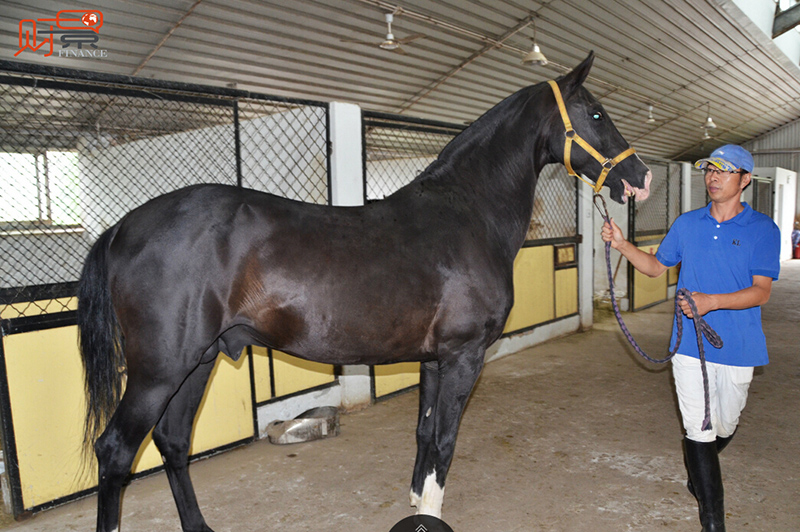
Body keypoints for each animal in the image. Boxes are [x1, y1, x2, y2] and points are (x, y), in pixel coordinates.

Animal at [76, 51, 648, 532]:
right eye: (596, 114)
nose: (639, 178)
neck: (466, 213)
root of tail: (122, 228)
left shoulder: (434, 359)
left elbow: (425, 434)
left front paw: (417, 504)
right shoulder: (463, 356)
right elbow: (446, 439)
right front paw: (431, 515)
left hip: (198, 363)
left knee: (173, 442)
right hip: (159, 372)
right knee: (116, 452)